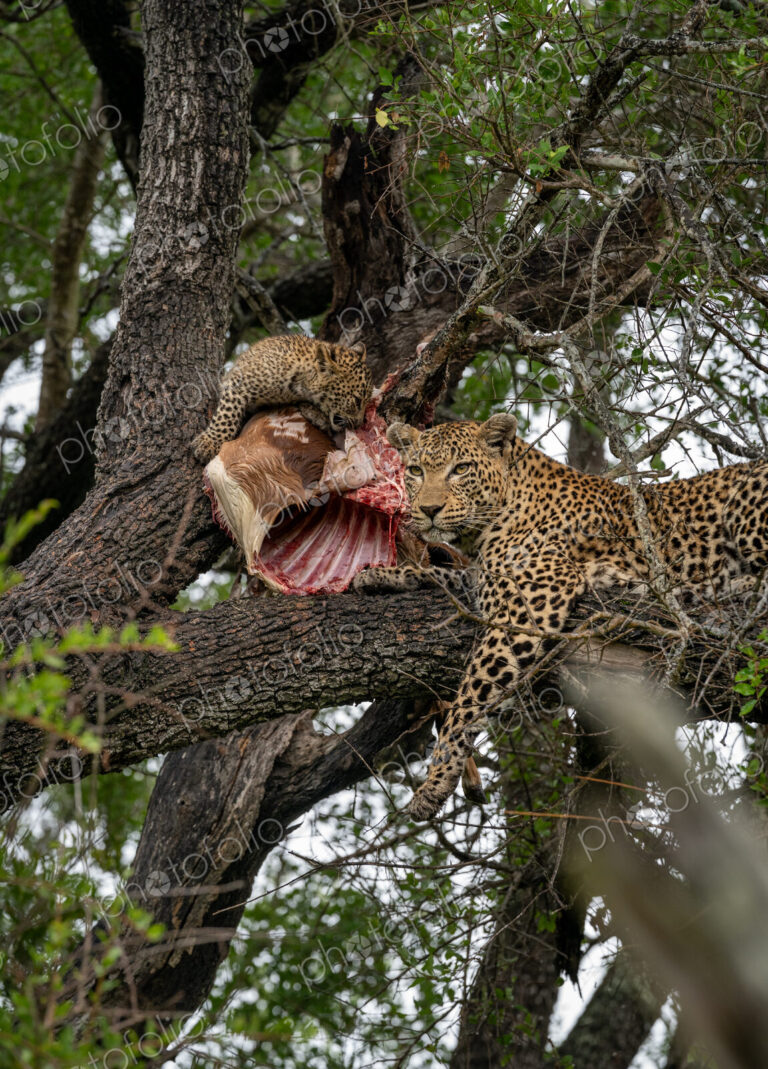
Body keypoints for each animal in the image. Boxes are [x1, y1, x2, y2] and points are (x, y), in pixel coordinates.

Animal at [192, 335, 373, 464]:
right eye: (357, 401)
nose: (359, 424)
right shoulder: (238, 383)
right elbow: (227, 415)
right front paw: (209, 443)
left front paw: (317, 414)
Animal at [354, 412, 768, 821]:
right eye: (416, 470)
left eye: (461, 469)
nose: (428, 510)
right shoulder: (482, 579)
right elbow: (438, 574)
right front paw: (377, 576)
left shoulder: (529, 600)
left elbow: (468, 699)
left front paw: (436, 782)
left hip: (743, 506)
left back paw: (726, 584)